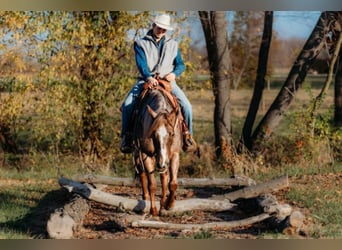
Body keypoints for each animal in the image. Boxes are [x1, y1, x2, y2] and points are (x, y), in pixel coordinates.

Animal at [132, 84, 183, 217]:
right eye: (153, 134)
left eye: (171, 134)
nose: (161, 164)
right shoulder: (146, 154)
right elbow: (152, 185)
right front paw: (153, 210)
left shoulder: (174, 154)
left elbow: (172, 183)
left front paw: (169, 205)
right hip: (139, 154)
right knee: (142, 173)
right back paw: (145, 199)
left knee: (164, 177)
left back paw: (163, 204)